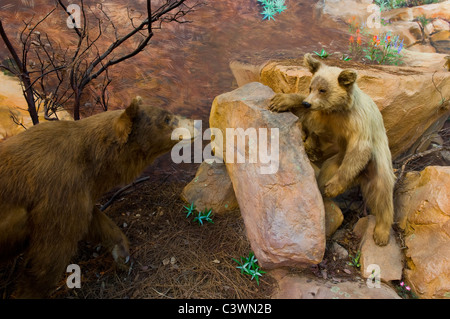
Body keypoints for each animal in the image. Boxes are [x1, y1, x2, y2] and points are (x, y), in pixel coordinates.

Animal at [0, 96, 195, 298]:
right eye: (167, 118)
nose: (195, 122)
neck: (93, 163)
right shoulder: (59, 192)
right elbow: (48, 256)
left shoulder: (77, 195)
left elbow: (96, 222)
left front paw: (123, 254)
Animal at [268, 54, 396, 248]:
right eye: (311, 86)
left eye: (323, 90)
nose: (307, 102)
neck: (339, 110)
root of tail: (360, 176)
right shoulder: (326, 119)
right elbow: (313, 125)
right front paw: (281, 101)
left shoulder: (357, 123)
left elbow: (359, 149)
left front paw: (333, 187)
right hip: (336, 163)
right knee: (325, 173)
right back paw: (322, 191)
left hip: (375, 164)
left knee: (382, 194)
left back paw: (381, 232)